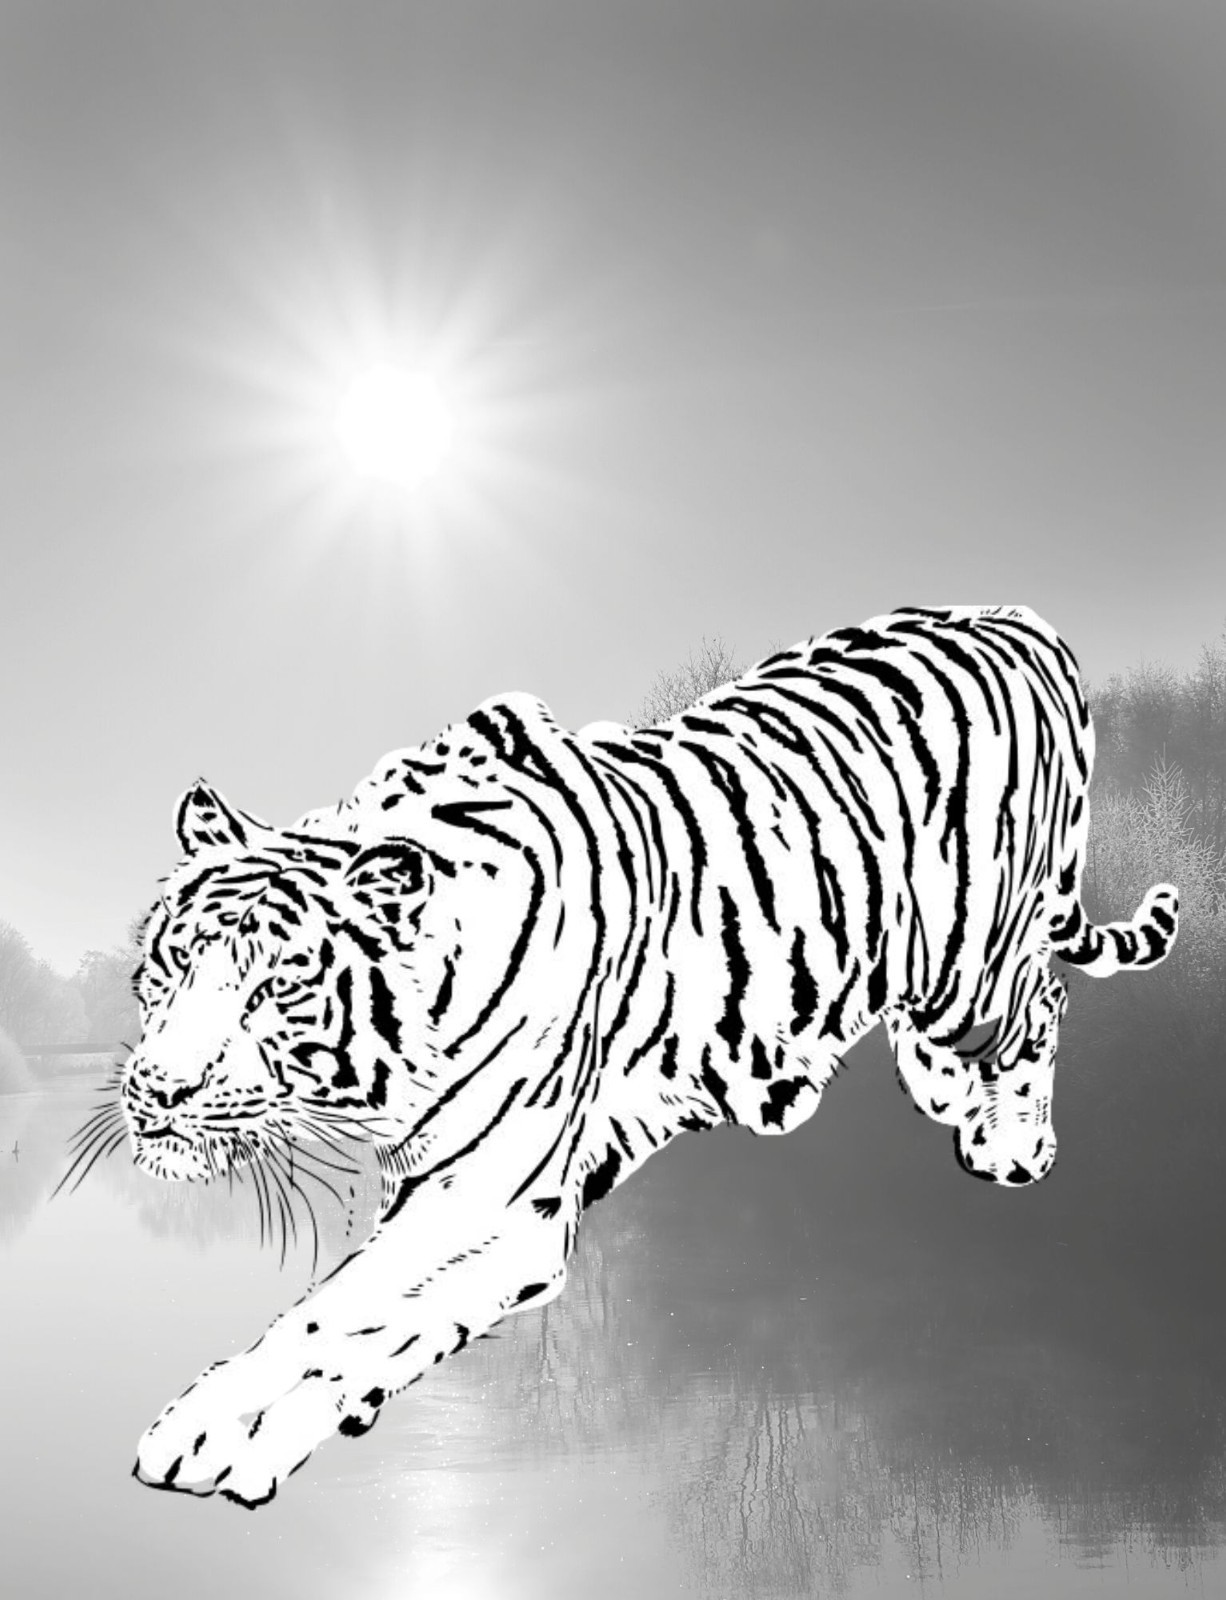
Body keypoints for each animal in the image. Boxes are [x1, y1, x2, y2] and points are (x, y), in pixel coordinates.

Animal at [99, 604, 1175, 1507]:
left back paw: (1008, 1140)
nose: (157, 1089)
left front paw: (209, 1429)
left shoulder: (489, 1195)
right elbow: (369, 1313)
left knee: (1041, 1000)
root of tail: (1020, 619)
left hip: (975, 961)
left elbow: (338, 1312)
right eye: (176, 960)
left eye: (276, 988)